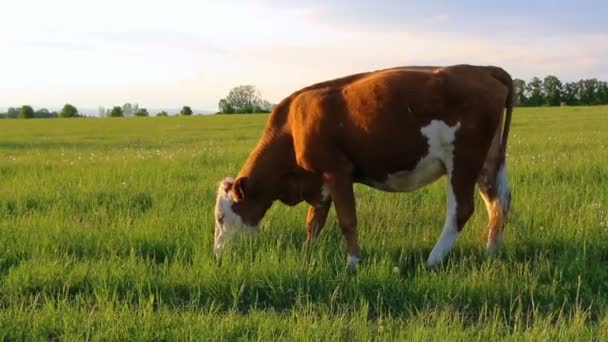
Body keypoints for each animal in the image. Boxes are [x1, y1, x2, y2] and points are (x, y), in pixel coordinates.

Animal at [214, 64, 512, 270]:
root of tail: (481, 69)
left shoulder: (336, 171)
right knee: (499, 203)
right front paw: (309, 252)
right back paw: (491, 251)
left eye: (220, 218)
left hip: (463, 160)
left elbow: (347, 220)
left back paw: (433, 260)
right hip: (488, 162)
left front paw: (353, 263)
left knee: (461, 210)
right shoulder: (318, 182)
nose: (216, 255)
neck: (292, 127)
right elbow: (314, 222)